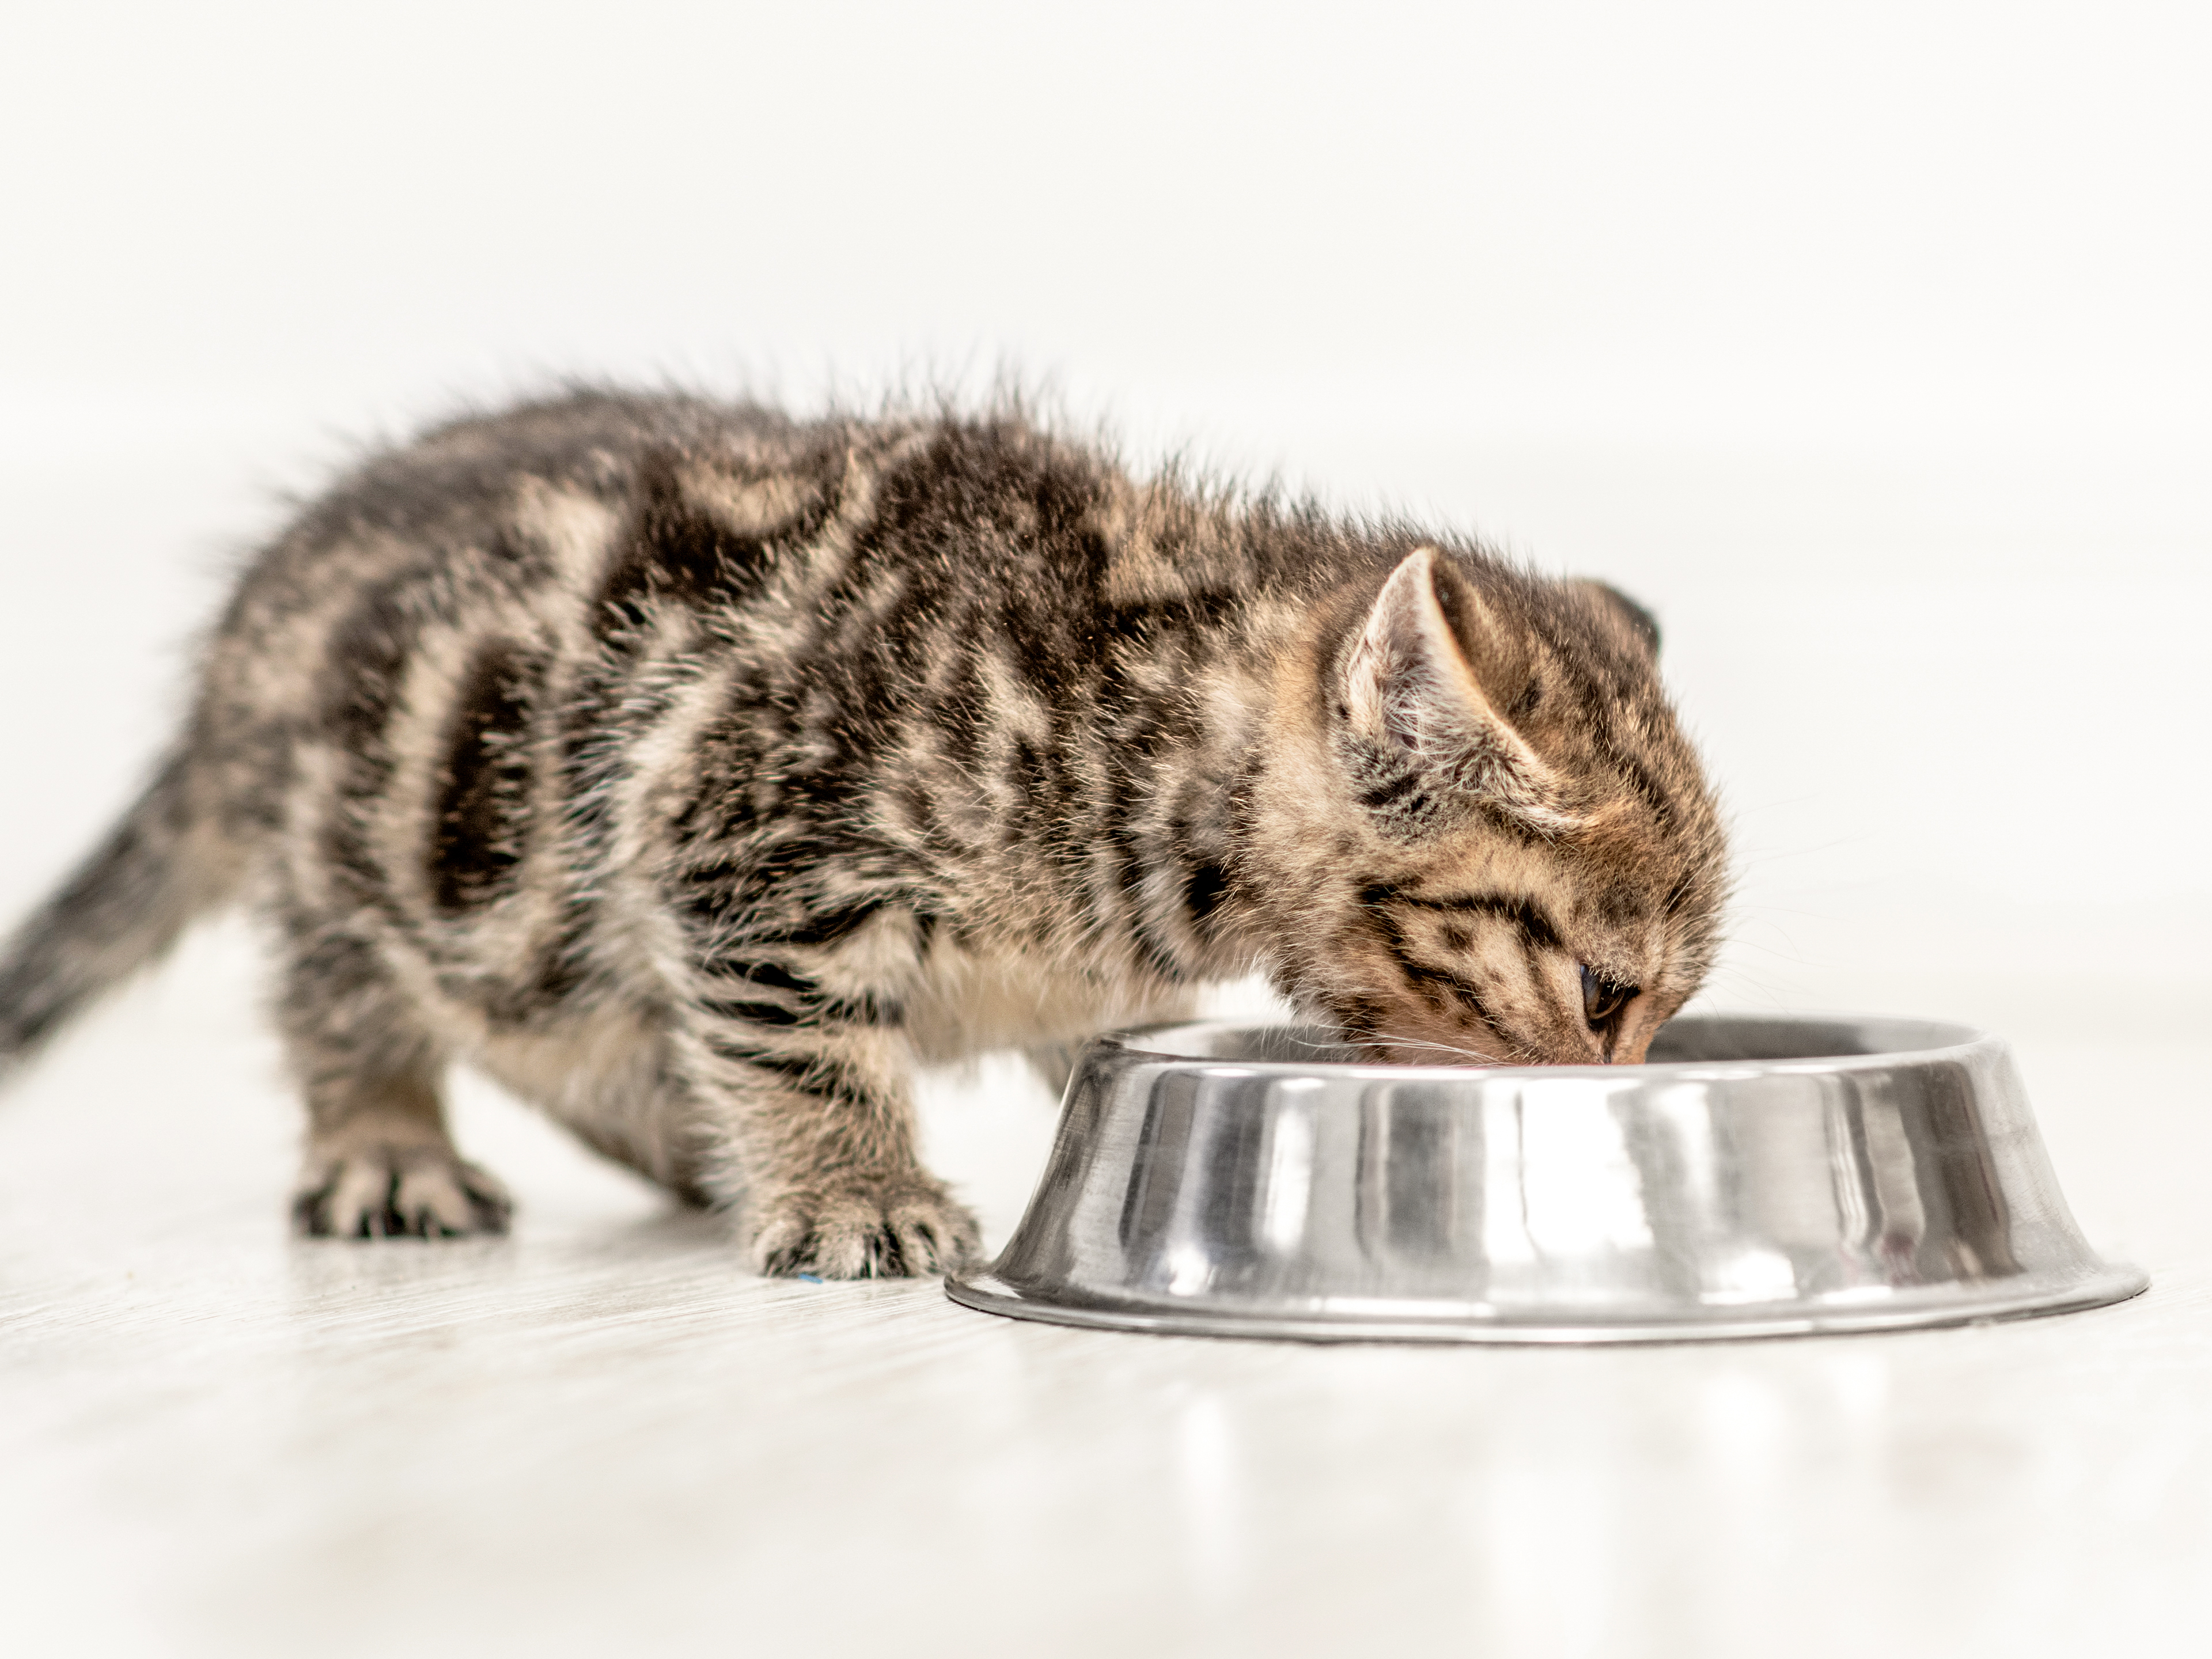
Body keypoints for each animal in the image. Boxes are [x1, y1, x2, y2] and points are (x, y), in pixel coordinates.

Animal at [0, 396, 1725, 1283]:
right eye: (1601, 996)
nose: (1622, 1088)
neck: (1141, 726)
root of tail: (242, 645)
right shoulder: (741, 843)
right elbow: (800, 1044)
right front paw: (853, 1194)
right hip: (376, 846)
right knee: (346, 995)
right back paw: (385, 1145)